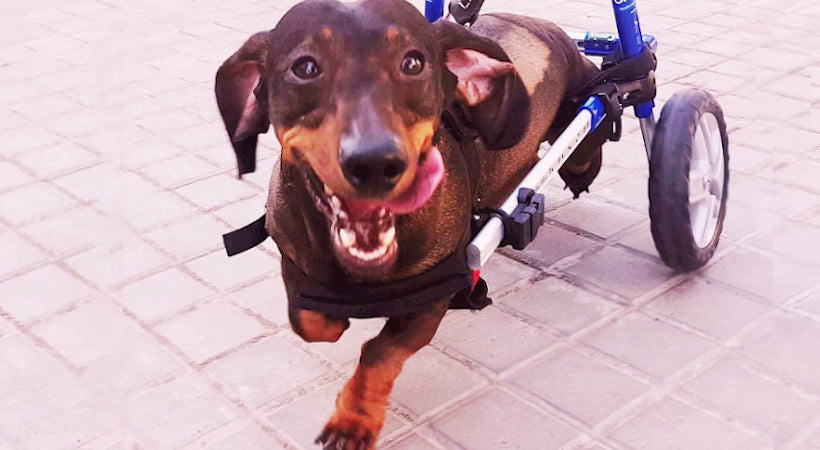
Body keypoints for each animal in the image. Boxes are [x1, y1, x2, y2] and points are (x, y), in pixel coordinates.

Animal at [218, 1, 604, 448]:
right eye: (305, 67)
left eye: (413, 62)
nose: (374, 163)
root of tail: (548, 28)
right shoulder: (295, 267)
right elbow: (311, 322)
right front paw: (334, 321)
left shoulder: (430, 301)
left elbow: (378, 354)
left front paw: (353, 422)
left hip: (584, 109)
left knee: (592, 133)